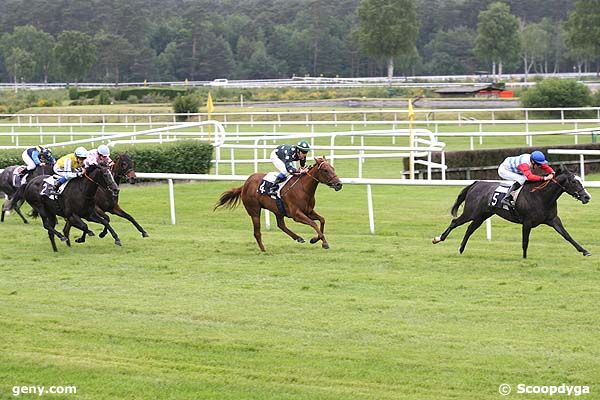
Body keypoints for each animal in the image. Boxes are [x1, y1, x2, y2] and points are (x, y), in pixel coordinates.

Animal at [432, 166, 592, 258]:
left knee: (470, 229)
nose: (587, 197)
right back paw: (438, 238)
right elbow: (525, 241)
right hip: (471, 212)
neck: (541, 196)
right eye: (574, 182)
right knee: (455, 222)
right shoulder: (527, 222)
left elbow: (567, 236)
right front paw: (524, 258)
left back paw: (461, 249)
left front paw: (585, 251)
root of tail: (476, 183)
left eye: (581, 180)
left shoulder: (553, 219)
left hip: (482, 215)